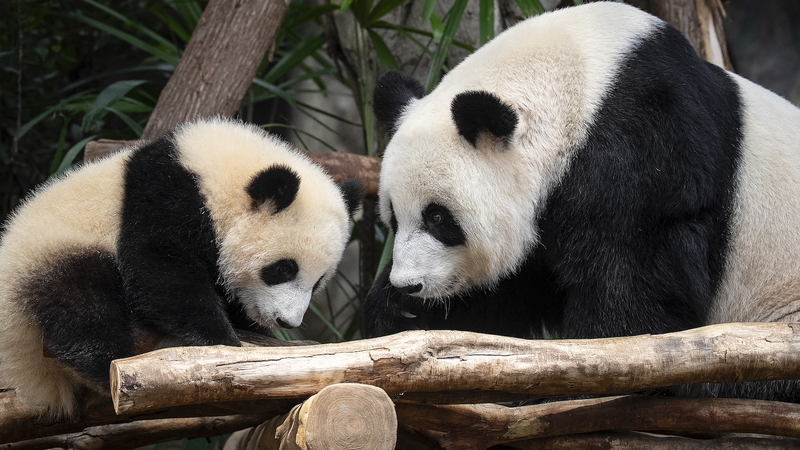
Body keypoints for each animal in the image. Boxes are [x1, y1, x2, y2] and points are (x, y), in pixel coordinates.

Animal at [0, 117, 363, 418]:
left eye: (317, 282)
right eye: (284, 269)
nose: (286, 321)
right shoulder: (166, 198)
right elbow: (160, 271)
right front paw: (223, 342)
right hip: (58, 252)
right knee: (84, 308)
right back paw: (109, 367)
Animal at [365, 3, 800, 400]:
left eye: (438, 218)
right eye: (393, 218)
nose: (409, 284)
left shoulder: (648, 149)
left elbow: (632, 292)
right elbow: (510, 290)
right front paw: (398, 311)